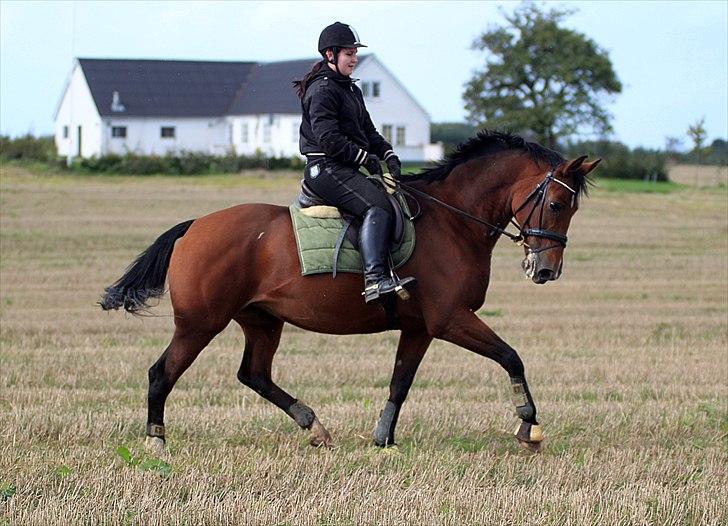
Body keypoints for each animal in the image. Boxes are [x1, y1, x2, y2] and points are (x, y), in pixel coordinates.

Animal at [104, 131, 604, 454]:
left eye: (571, 208)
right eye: (556, 204)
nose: (546, 270)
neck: (454, 219)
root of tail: (195, 226)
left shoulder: (421, 328)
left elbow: (400, 382)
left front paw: (384, 439)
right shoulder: (451, 319)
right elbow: (510, 356)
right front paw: (528, 425)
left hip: (262, 320)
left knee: (254, 374)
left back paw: (314, 427)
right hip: (199, 323)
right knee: (161, 373)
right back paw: (156, 441)